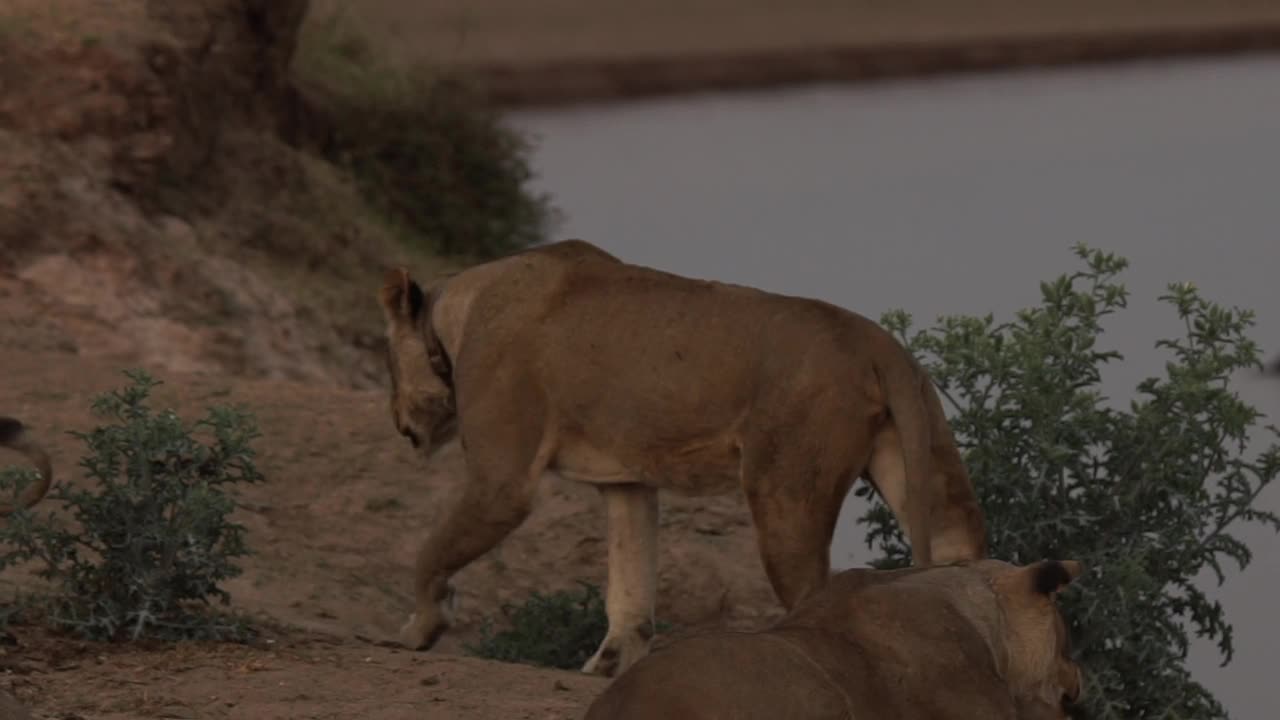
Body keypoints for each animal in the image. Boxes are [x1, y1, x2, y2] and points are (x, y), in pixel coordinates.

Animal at [373, 239, 983, 671]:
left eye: (384, 358)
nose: (397, 421)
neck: (457, 314)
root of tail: (876, 343)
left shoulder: (501, 482)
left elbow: (430, 552)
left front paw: (417, 630)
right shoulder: (627, 482)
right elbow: (630, 583)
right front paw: (608, 666)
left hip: (784, 491)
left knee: (813, 591)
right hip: (925, 464)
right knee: (965, 556)